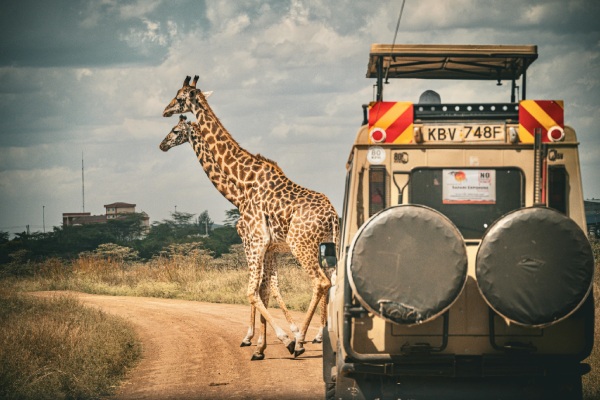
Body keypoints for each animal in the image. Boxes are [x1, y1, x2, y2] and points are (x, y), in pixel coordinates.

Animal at [162, 76, 340, 360]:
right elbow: (266, 290)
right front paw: (260, 346)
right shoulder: (269, 247)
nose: (162, 144)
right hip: (329, 244)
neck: (240, 186)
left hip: (302, 245)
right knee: (334, 281)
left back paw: (302, 339)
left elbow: (253, 291)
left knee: (321, 282)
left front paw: (277, 339)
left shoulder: (254, 241)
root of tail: (332, 215)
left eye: (179, 98)